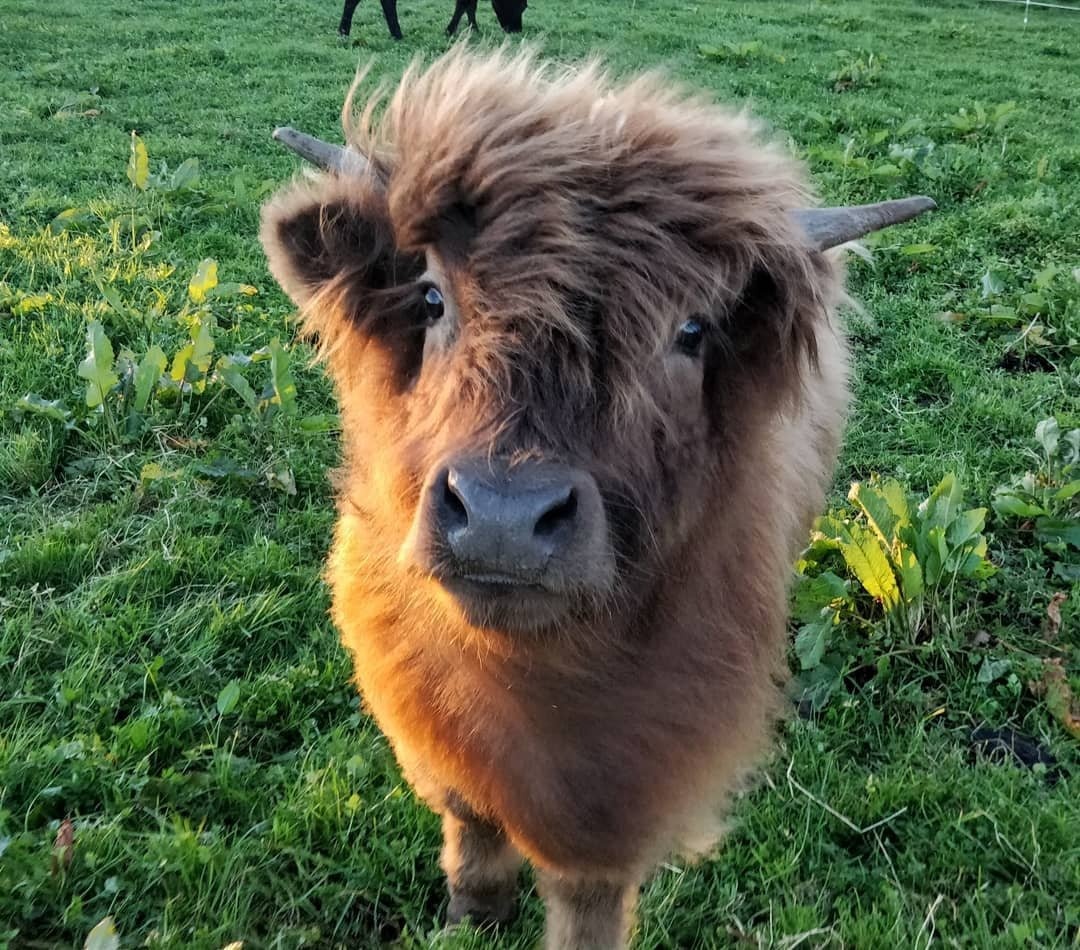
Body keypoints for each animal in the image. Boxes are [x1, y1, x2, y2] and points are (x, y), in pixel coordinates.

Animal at [261, 46, 937, 950]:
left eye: (690, 331)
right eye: (434, 298)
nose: (503, 519)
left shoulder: (629, 779)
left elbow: (587, 891)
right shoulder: (422, 708)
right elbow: (468, 814)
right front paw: (473, 912)